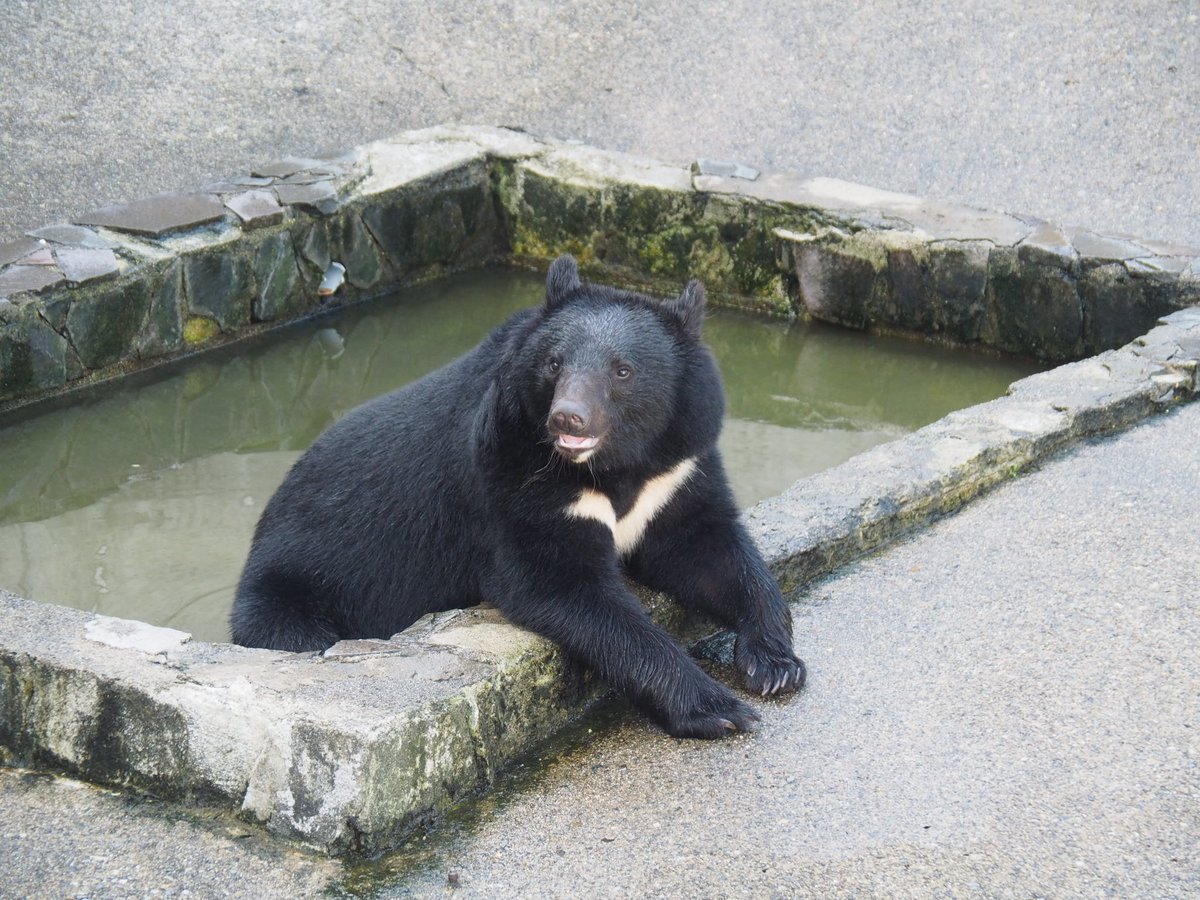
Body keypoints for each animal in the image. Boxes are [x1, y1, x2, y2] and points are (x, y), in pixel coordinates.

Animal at [230, 255, 805, 738]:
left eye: (622, 370)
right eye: (554, 363)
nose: (567, 418)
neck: (613, 465)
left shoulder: (677, 467)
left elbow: (709, 549)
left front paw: (775, 665)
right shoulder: (511, 480)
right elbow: (562, 587)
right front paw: (719, 708)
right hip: (292, 593)